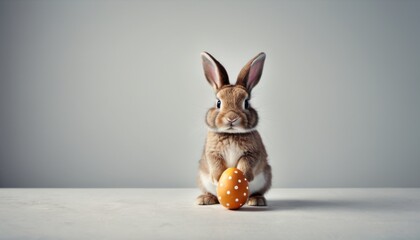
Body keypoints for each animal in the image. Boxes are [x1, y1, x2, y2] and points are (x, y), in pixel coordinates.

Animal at [197, 51, 272, 205]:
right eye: (218, 103)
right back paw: (205, 199)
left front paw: (242, 177)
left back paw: (256, 200)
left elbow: (245, 164)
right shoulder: (212, 152)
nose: (232, 118)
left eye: (246, 103)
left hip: (266, 176)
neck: (232, 134)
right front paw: (218, 178)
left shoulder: (252, 153)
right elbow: (215, 163)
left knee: (258, 191)